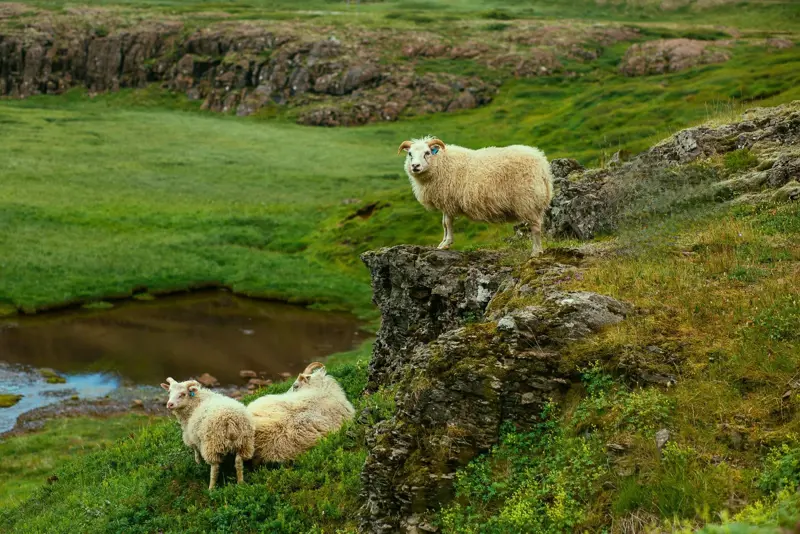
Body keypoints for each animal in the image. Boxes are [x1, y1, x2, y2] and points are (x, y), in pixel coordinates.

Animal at [398, 136, 554, 255]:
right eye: (410, 154)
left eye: (427, 152)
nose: (415, 166)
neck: (441, 164)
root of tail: (542, 165)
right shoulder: (446, 201)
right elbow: (444, 224)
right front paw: (443, 243)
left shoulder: (448, 200)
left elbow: (447, 223)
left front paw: (446, 243)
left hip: (528, 200)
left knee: (536, 228)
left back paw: (536, 252)